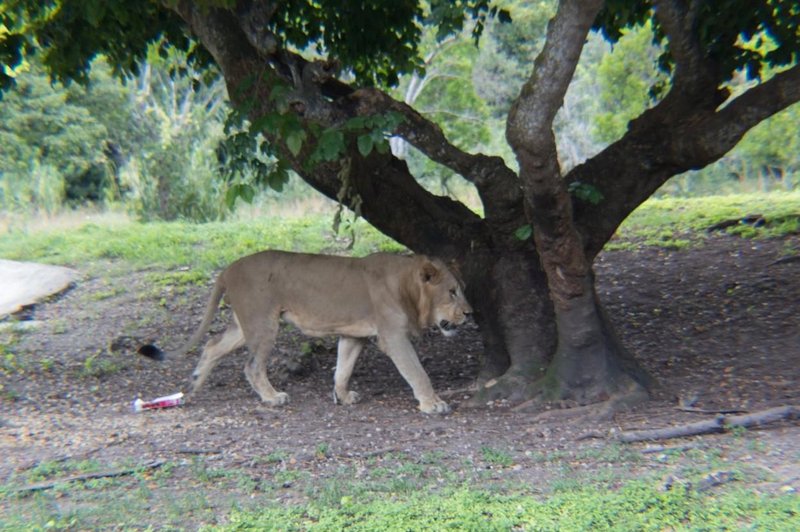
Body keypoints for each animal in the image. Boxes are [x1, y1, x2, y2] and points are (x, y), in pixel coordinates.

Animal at [138, 251, 472, 414]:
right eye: (452, 292)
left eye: (461, 290)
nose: (470, 313)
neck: (408, 287)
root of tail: (227, 269)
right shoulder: (393, 337)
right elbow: (417, 372)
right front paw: (433, 404)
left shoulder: (354, 335)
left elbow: (343, 368)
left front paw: (342, 396)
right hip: (264, 323)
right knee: (251, 365)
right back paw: (272, 398)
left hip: (245, 325)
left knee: (213, 344)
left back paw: (194, 383)